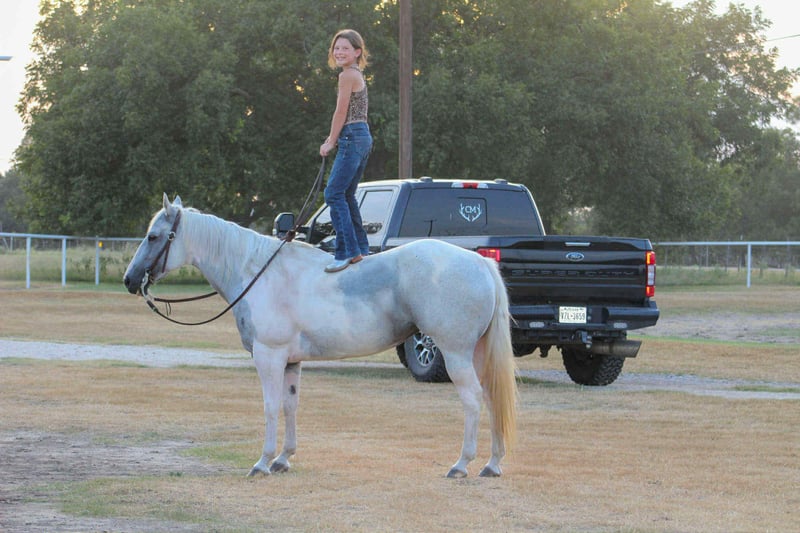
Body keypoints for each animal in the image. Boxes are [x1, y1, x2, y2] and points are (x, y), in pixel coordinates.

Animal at [123, 194, 517, 478]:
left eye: (153, 236)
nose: (129, 280)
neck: (258, 272)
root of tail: (480, 262)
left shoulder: (268, 356)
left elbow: (270, 406)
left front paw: (262, 462)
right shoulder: (291, 362)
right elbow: (290, 405)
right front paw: (284, 459)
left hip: (454, 354)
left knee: (472, 400)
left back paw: (461, 464)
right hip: (476, 354)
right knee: (491, 398)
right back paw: (492, 464)